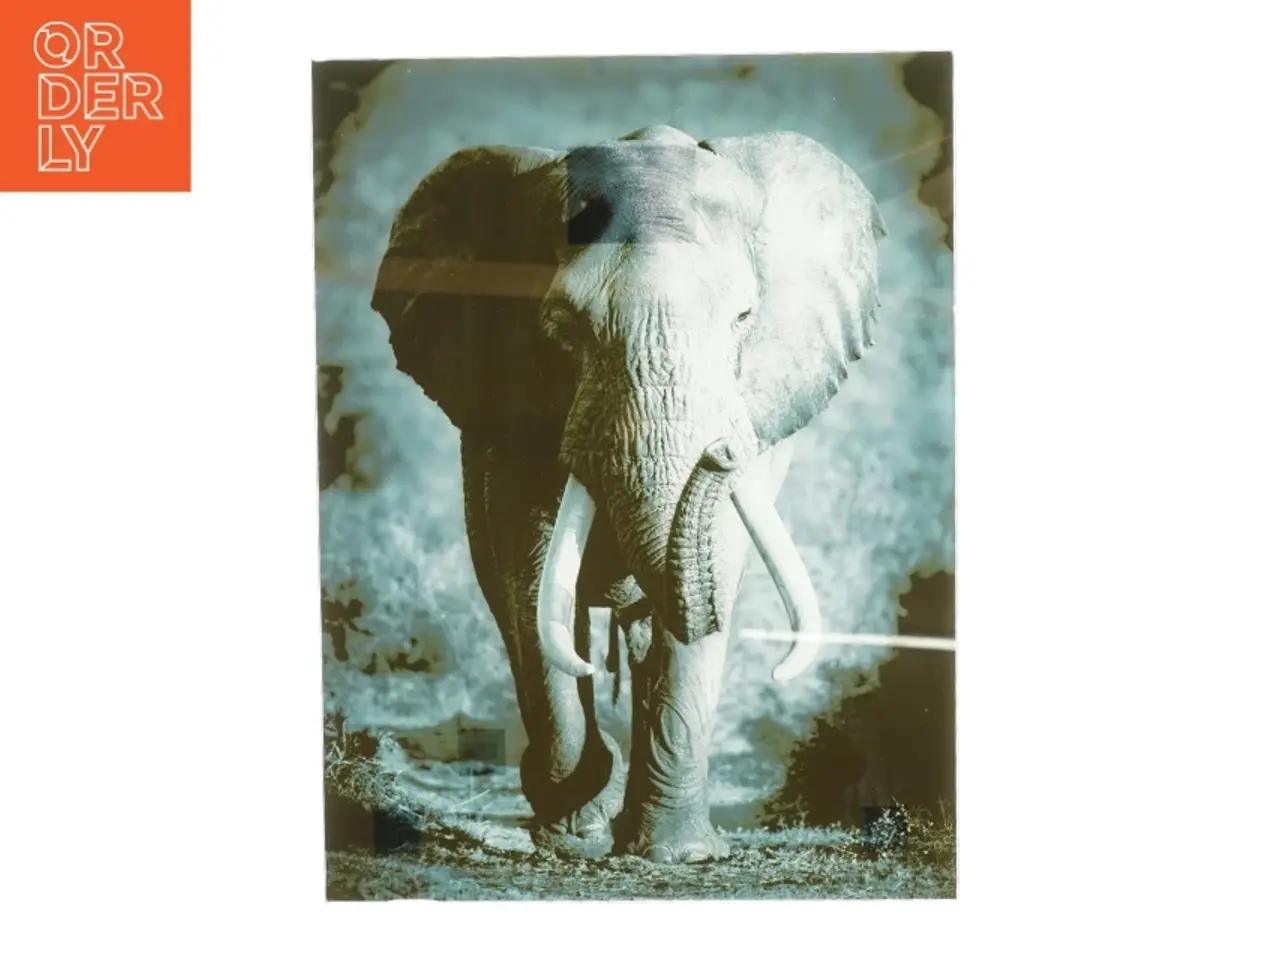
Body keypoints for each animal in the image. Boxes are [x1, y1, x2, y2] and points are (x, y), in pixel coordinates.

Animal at [369, 124, 886, 863]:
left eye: (743, 317)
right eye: (560, 323)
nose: (722, 452)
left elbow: (713, 570)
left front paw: (677, 855)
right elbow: (530, 574)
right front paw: (577, 833)